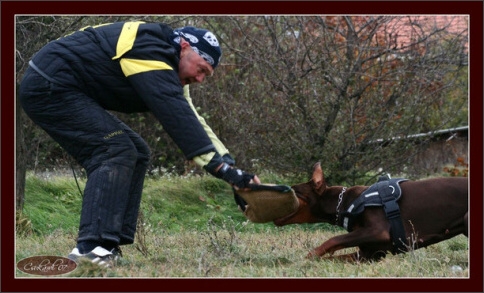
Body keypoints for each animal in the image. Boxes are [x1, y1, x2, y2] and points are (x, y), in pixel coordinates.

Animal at [274, 162, 466, 260]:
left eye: (293, 190)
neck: (344, 202)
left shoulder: (378, 231)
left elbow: (334, 239)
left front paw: (309, 256)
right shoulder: (371, 253)